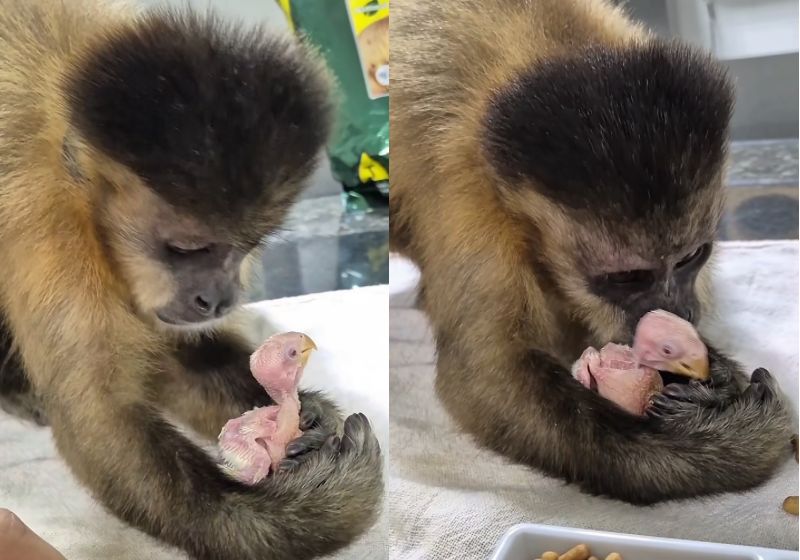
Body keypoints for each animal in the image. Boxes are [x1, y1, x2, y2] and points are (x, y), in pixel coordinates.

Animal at [0, 1, 383, 558]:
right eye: (187, 249)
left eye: (246, 246)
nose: (219, 298)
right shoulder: (56, 248)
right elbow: (100, 420)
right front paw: (316, 511)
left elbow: (176, 358)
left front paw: (305, 412)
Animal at [390, 0, 792, 505]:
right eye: (627, 278)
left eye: (690, 258)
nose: (678, 310)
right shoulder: (473, 202)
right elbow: (483, 377)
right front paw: (731, 442)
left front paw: (713, 375)